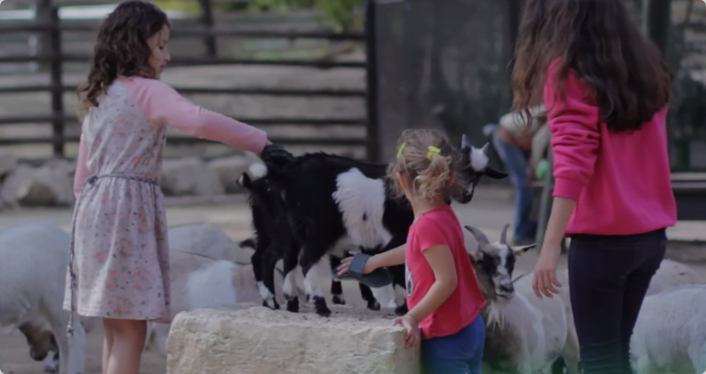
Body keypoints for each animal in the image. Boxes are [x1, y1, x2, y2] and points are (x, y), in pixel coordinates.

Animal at [245, 134, 504, 316]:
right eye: (459, 165)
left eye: (481, 174)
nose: (466, 195)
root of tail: (289, 174)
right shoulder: (395, 236)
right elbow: (398, 270)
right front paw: (402, 306)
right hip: (314, 229)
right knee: (303, 260)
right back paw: (317, 304)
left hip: (291, 230)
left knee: (275, 258)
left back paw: (285, 301)